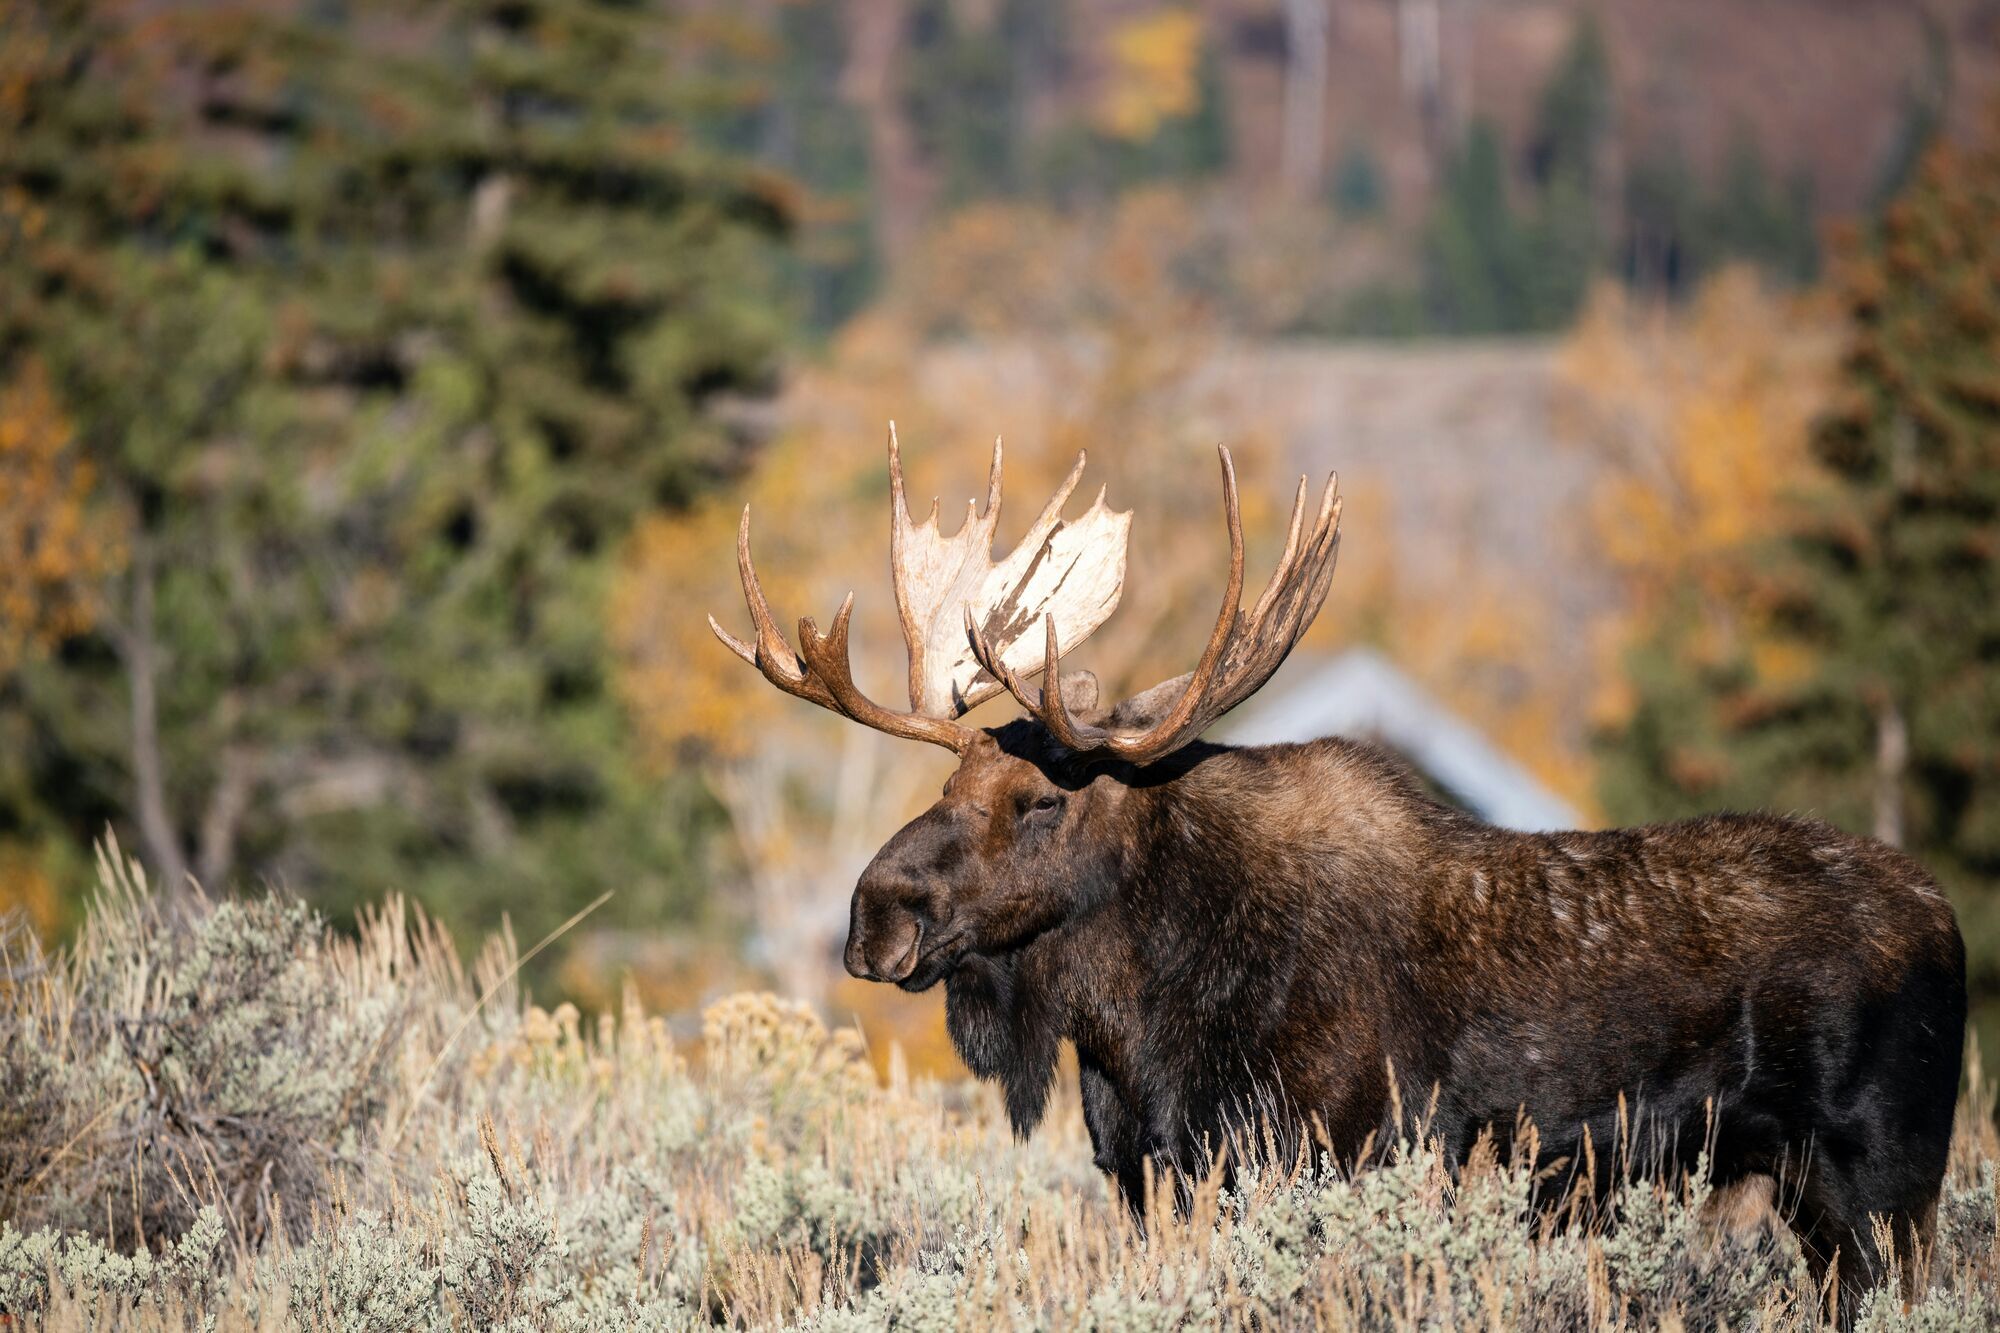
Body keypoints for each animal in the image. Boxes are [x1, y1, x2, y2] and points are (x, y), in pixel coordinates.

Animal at [712, 430, 1960, 1304]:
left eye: (1036, 803)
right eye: (943, 788)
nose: (874, 915)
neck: (1136, 1025)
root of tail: (1944, 918)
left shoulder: (1334, 1153)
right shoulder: (1151, 1174)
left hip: (1882, 1177)